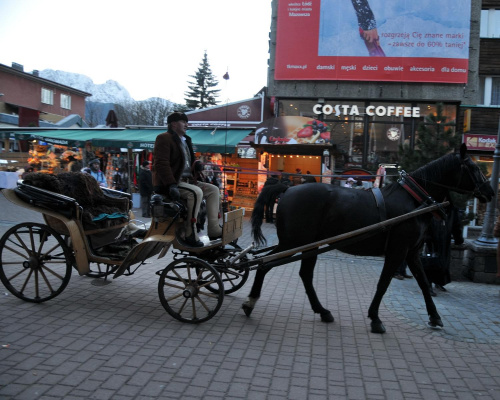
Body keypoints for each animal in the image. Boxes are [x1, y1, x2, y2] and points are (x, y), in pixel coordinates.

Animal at [242, 145, 492, 332]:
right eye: (472, 167)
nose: (490, 192)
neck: (414, 200)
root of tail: (287, 190)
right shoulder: (397, 250)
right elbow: (383, 283)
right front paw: (375, 318)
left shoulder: (411, 252)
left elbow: (422, 281)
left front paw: (434, 316)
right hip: (293, 243)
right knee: (264, 265)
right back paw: (250, 301)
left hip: (308, 246)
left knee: (304, 275)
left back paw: (322, 311)